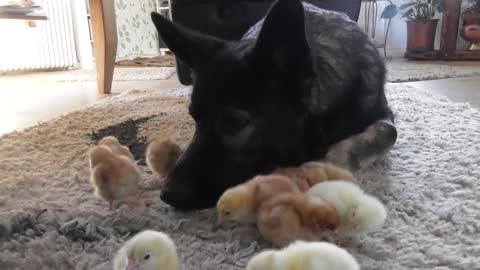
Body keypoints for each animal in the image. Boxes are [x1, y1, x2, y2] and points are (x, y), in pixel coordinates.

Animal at [151, 0, 398, 210]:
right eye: (194, 117)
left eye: (236, 122)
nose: (166, 194)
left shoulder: (382, 111)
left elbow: (389, 131)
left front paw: (335, 160)